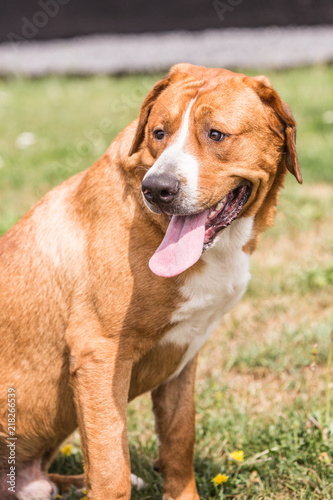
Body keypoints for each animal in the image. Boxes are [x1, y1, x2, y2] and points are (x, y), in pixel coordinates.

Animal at [0, 63, 300, 500]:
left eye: (216, 134)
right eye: (159, 133)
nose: (157, 189)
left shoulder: (184, 355)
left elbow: (179, 439)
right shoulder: (99, 355)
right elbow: (111, 467)